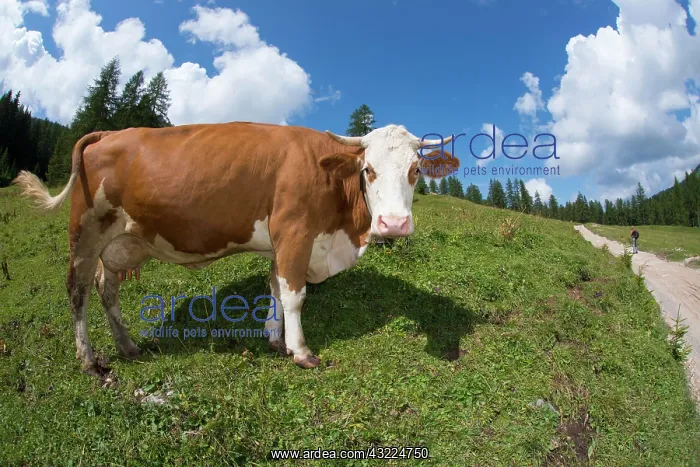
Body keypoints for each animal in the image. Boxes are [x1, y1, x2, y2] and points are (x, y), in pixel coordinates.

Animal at [13, 122, 458, 375]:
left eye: (416, 170)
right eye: (369, 169)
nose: (394, 224)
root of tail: (108, 133)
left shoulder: (282, 243)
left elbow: (276, 288)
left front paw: (275, 339)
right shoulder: (294, 230)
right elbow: (295, 295)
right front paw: (301, 352)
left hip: (120, 243)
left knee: (108, 292)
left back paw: (128, 346)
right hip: (84, 232)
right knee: (78, 292)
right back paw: (89, 360)